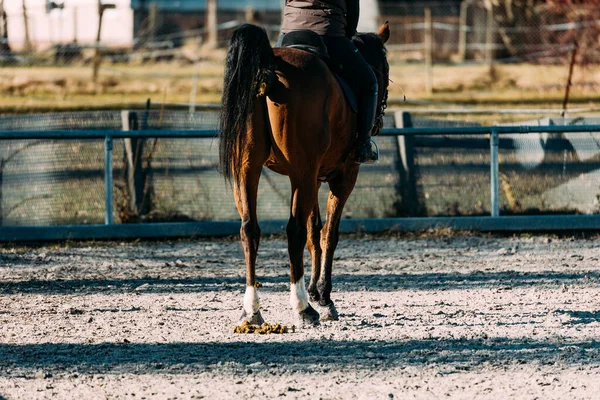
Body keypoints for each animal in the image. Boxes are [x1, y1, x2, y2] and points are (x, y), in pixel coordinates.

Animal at [218, 21, 392, 326]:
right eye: (385, 68)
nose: (379, 118)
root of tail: (270, 65)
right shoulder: (343, 177)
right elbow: (327, 236)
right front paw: (322, 297)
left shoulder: (312, 178)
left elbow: (314, 235)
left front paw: (314, 291)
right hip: (304, 176)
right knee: (294, 231)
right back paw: (302, 307)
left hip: (249, 170)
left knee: (249, 229)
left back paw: (252, 310)